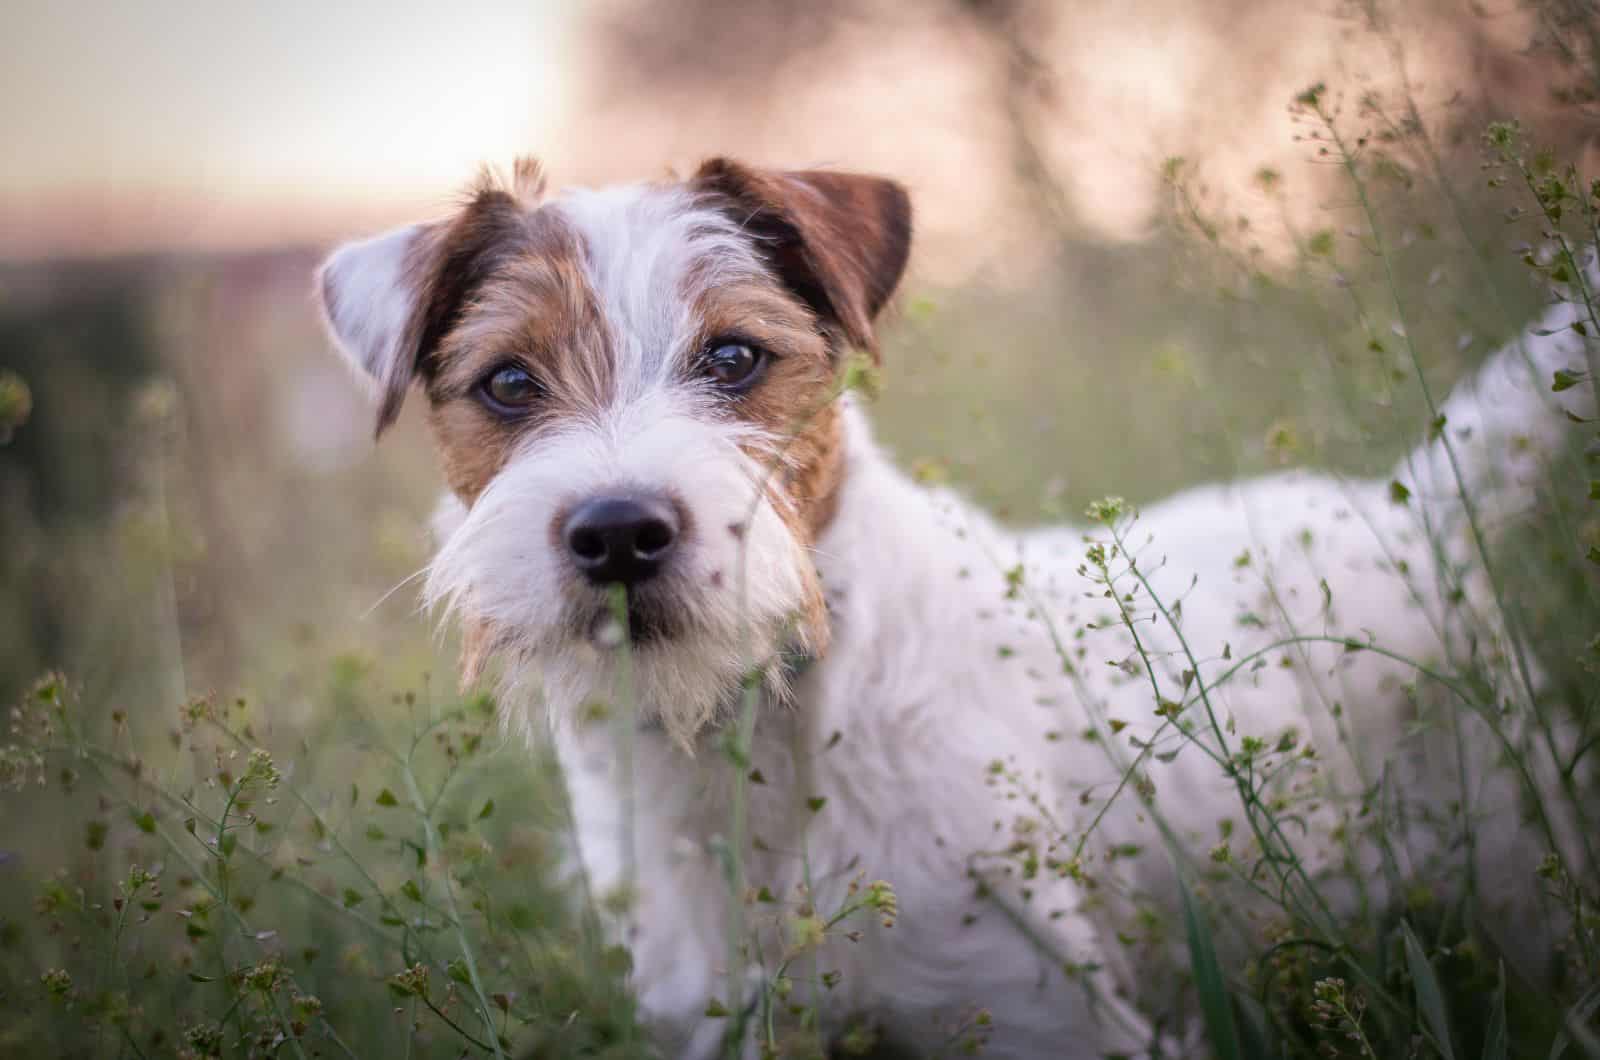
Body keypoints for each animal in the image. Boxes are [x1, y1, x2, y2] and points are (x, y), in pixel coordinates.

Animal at [318, 160, 1593, 1060]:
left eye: (733, 357)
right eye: (507, 382)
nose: (619, 532)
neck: (755, 742)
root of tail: (1411, 507)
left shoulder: (1039, 1015)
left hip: (1520, 863)